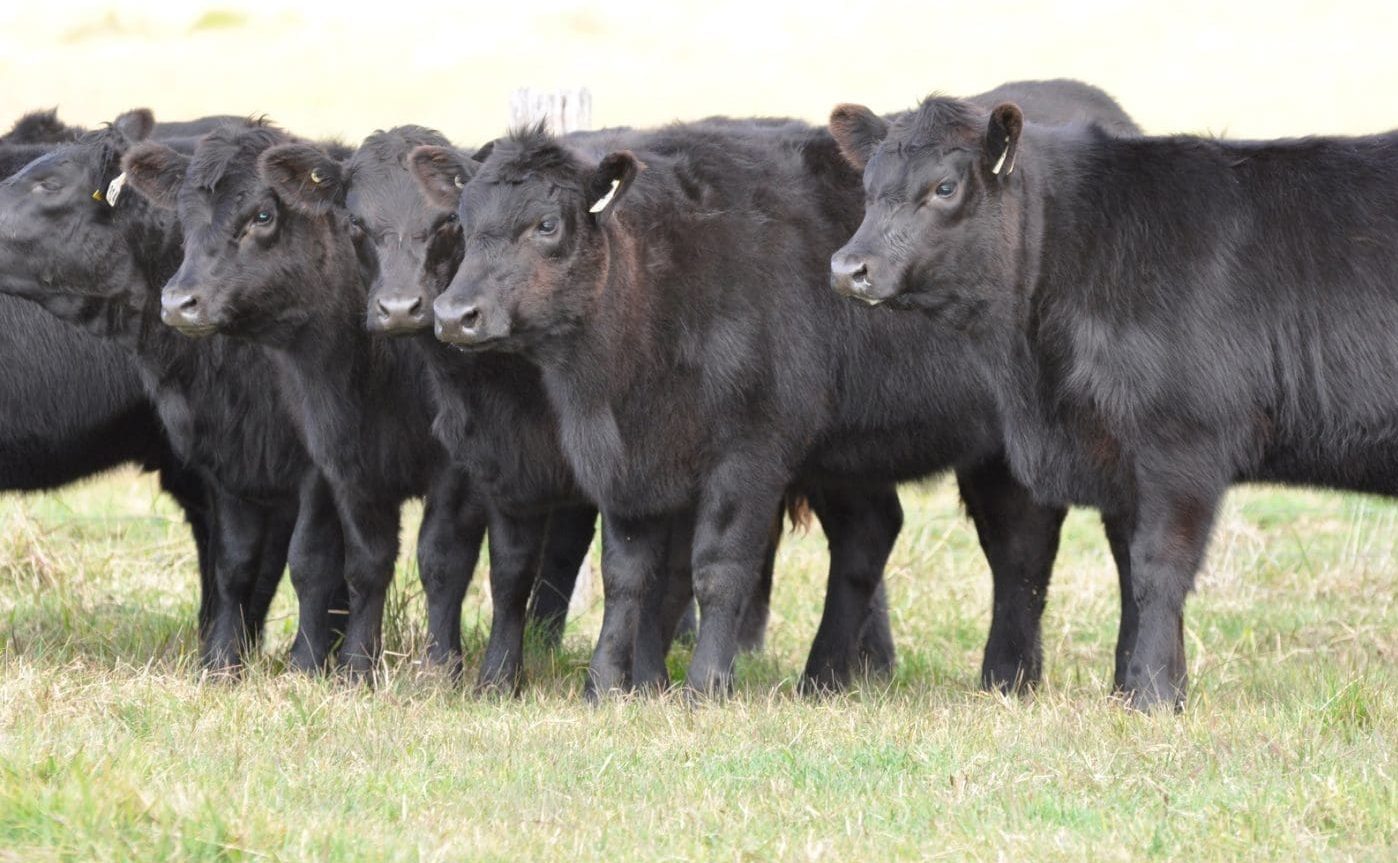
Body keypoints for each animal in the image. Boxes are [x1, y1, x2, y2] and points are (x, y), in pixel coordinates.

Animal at [825, 92, 1398, 710]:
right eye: (868, 188)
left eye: (945, 187)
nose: (848, 268)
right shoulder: (1118, 457)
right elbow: (1127, 569)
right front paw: (1130, 688)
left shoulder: (1181, 444)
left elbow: (1158, 566)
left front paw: (1153, 695)